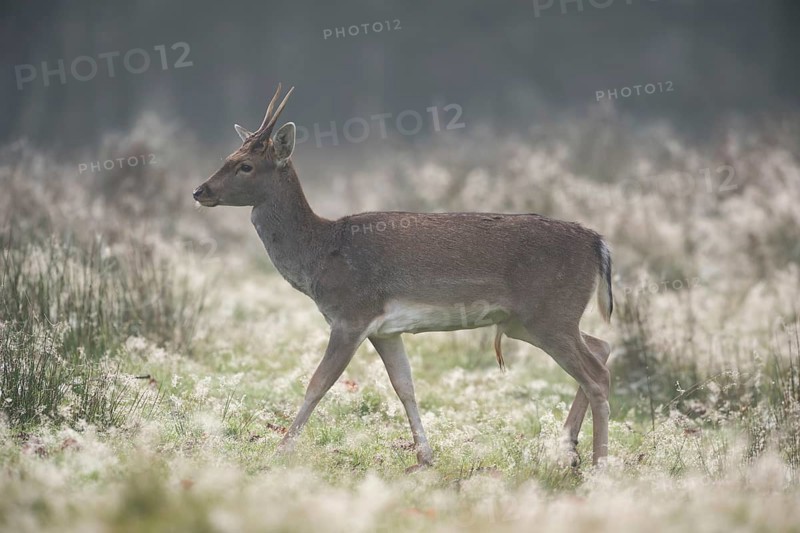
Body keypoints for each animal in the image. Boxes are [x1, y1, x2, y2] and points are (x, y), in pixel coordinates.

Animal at [193, 85, 614, 468]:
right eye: (228, 156)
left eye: (246, 166)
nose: (200, 190)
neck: (320, 253)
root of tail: (598, 243)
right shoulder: (385, 330)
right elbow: (405, 386)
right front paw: (425, 457)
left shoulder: (351, 314)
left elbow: (317, 383)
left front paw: (280, 451)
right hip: (528, 321)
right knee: (601, 346)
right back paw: (567, 451)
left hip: (549, 313)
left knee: (597, 374)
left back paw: (598, 464)